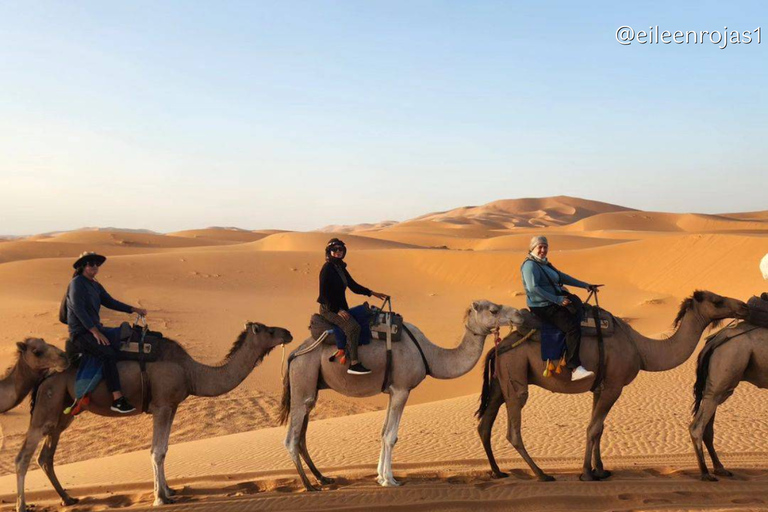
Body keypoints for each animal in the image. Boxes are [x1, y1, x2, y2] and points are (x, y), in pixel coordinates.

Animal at [15, 322, 292, 510]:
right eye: (268, 330)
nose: (287, 332)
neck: (191, 372)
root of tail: (45, 376)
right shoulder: (162, 405)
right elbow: (156, 451)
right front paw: (160, 498)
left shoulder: (172, 406)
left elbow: (164, 449)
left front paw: (169, 491)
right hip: (47, 406)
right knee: (23, 457)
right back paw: (23, 505)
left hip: (63, 413)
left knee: (45, 456)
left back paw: (68, 498)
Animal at [280, 300, 524, 492]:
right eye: (493, 310)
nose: (520, 314)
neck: (430, 354)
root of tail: (294, 353)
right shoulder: (402, 389)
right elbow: (391, 436)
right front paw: (390, 480)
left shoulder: (391, 390)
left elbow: (382, 432)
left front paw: (380, 476)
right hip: (303, 378)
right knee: (291, 438)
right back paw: (309, 486)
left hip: (311, 386)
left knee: (302, 435)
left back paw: (322, 478)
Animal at [476, 290, 748, 482]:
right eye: (717, 301)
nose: (743, 306)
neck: (641, 349)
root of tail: (498, 347)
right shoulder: (614, 385)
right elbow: (594, 427)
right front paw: (587, 473)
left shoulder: (601, 386)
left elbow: (599, 428)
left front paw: (600, 470)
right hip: (515, 374)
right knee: (513, 428)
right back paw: (542, 474)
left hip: (500, 381)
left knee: (484, 424)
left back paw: (498, 471)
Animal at [688, 322, 768, 482]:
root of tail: (712, 342)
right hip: (725, 370)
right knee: (697, 426)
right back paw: (706, 473)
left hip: (717, 386)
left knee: (707, 428)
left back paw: (720, 468)